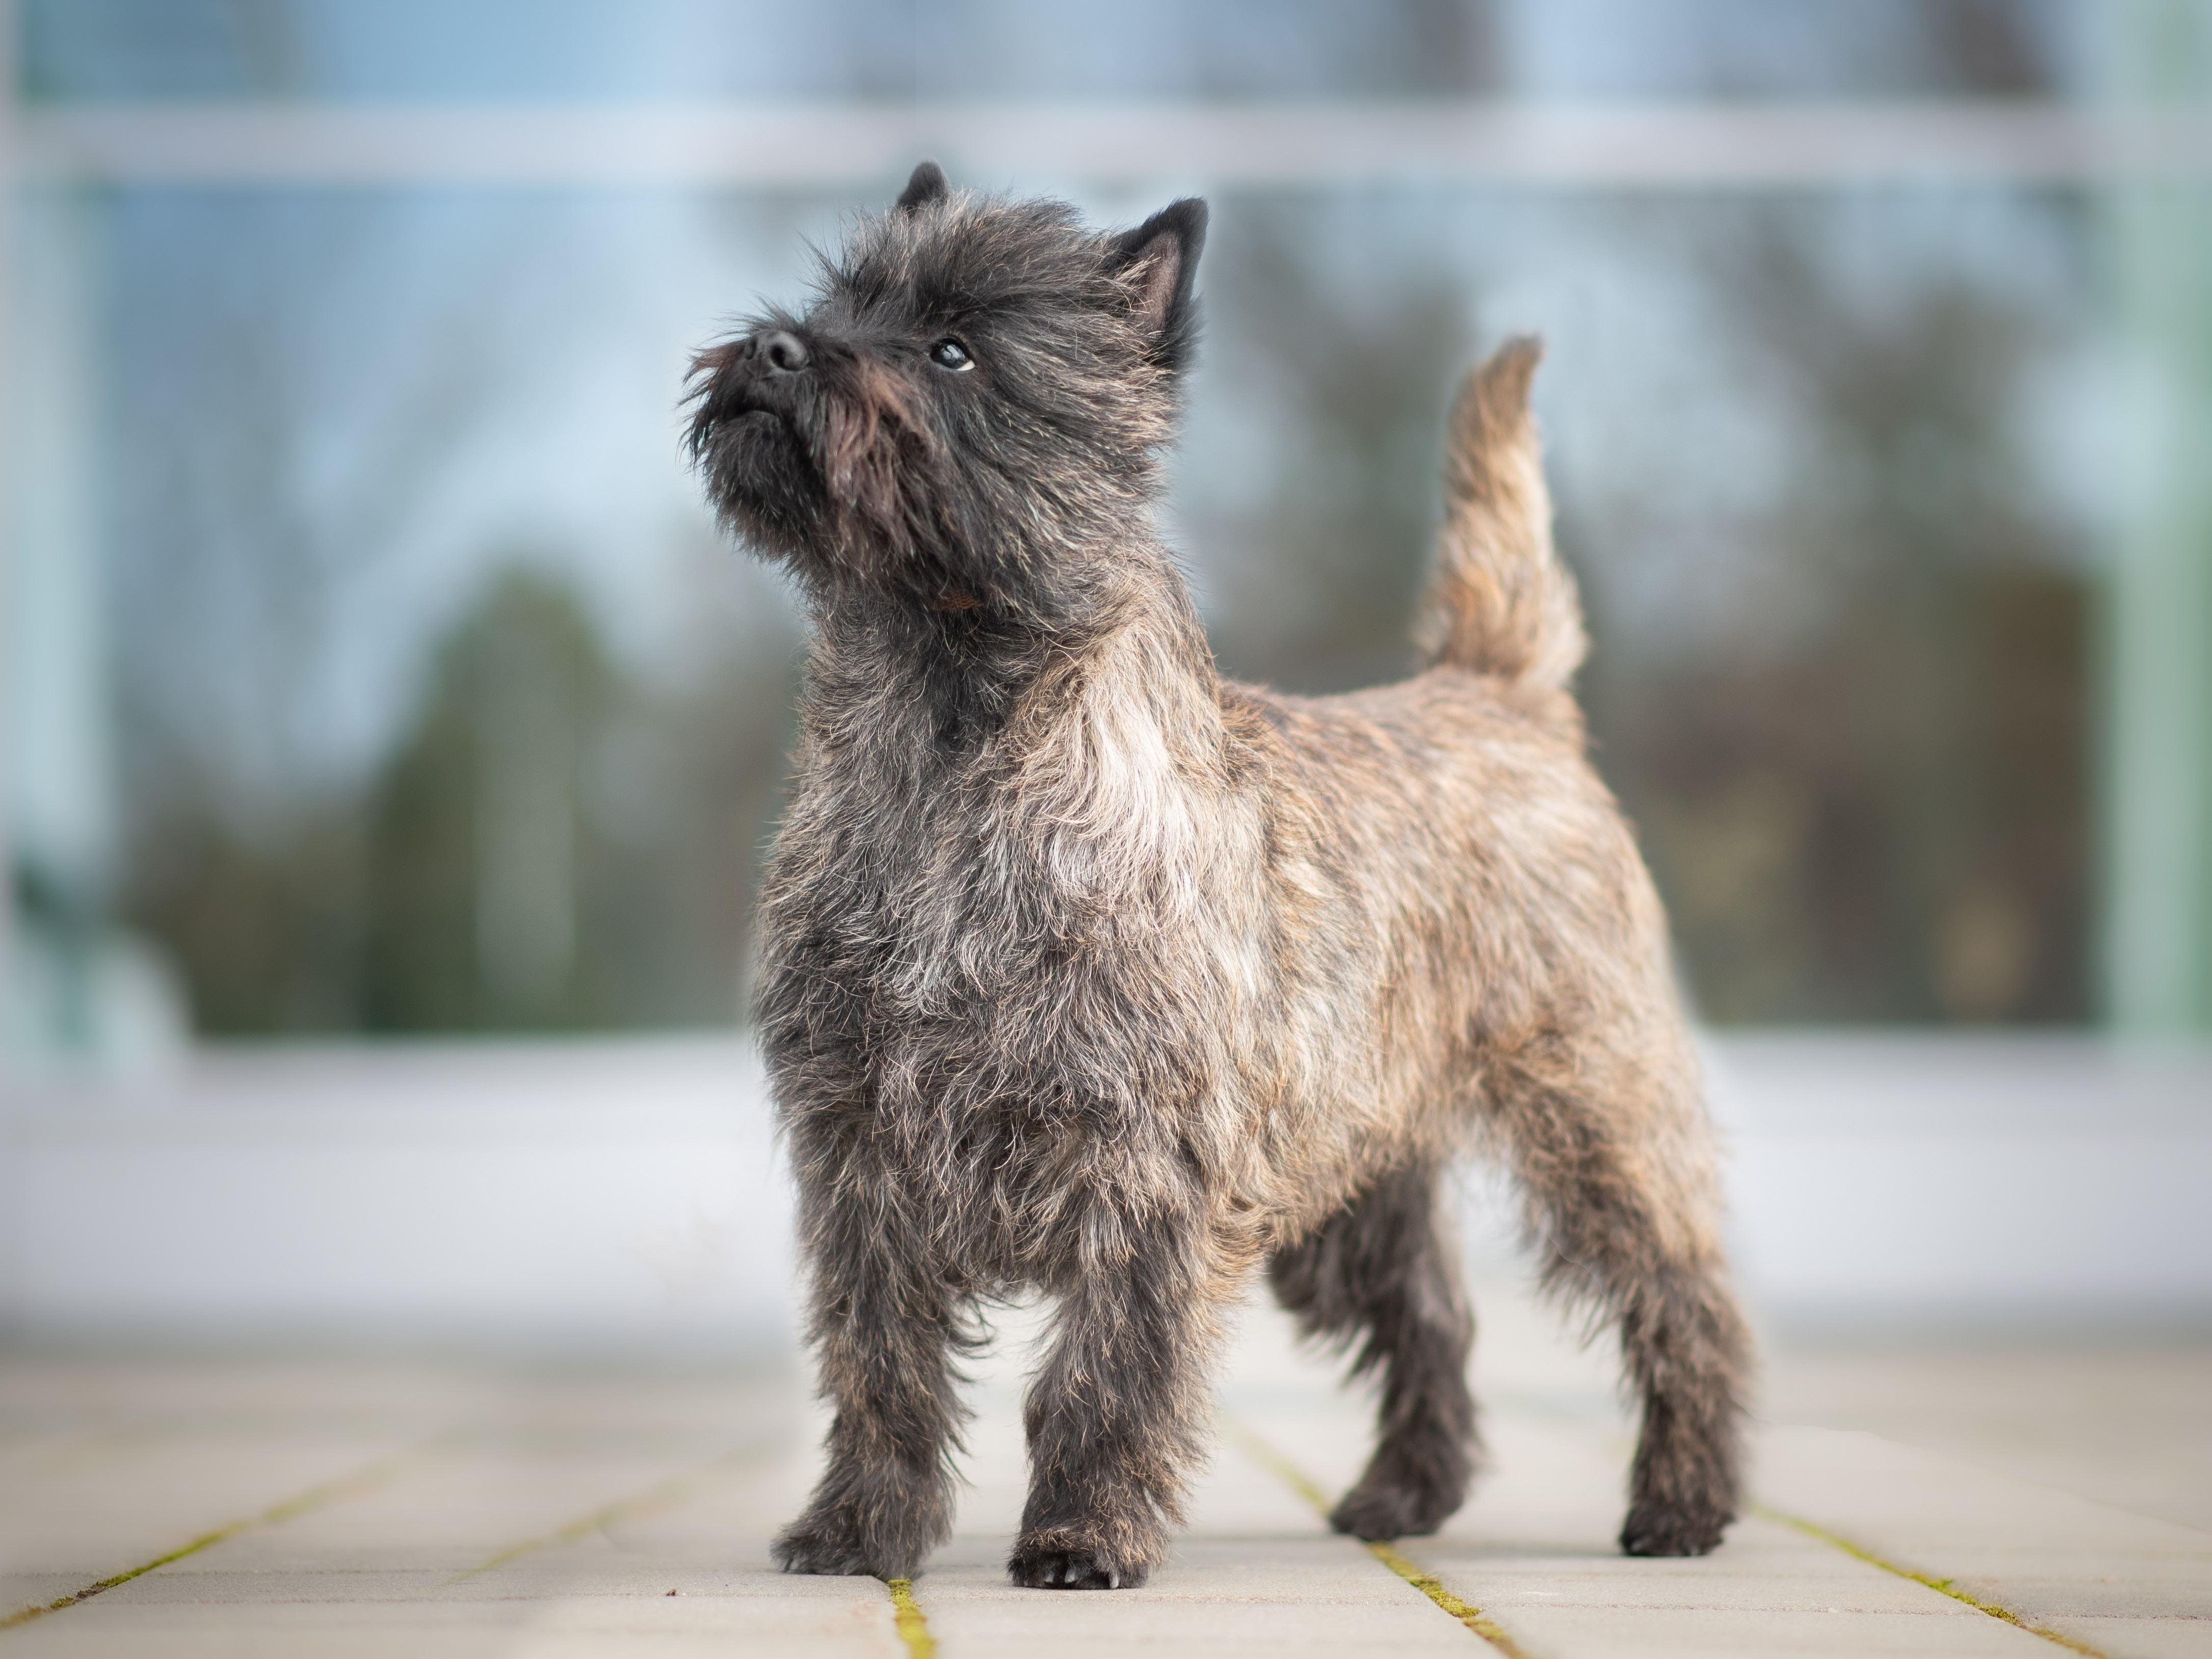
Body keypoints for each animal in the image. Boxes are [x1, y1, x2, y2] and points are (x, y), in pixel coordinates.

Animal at [687, 161, 1751, 1590]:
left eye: (953, 347)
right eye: (839, 300)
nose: (776, 347)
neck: (948, 732)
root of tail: (1497, 690)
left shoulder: (1148, 1159)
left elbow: (1103, 1366)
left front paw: (1080, 1534)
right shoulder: (857, 1151)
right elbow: (878, 1359)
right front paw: (859, 1532)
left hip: (1591, 1109)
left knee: (1677, 1289)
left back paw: (1684, 1502)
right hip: (1353, 1183)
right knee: (1433, 1320)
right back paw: (1399, 1495)